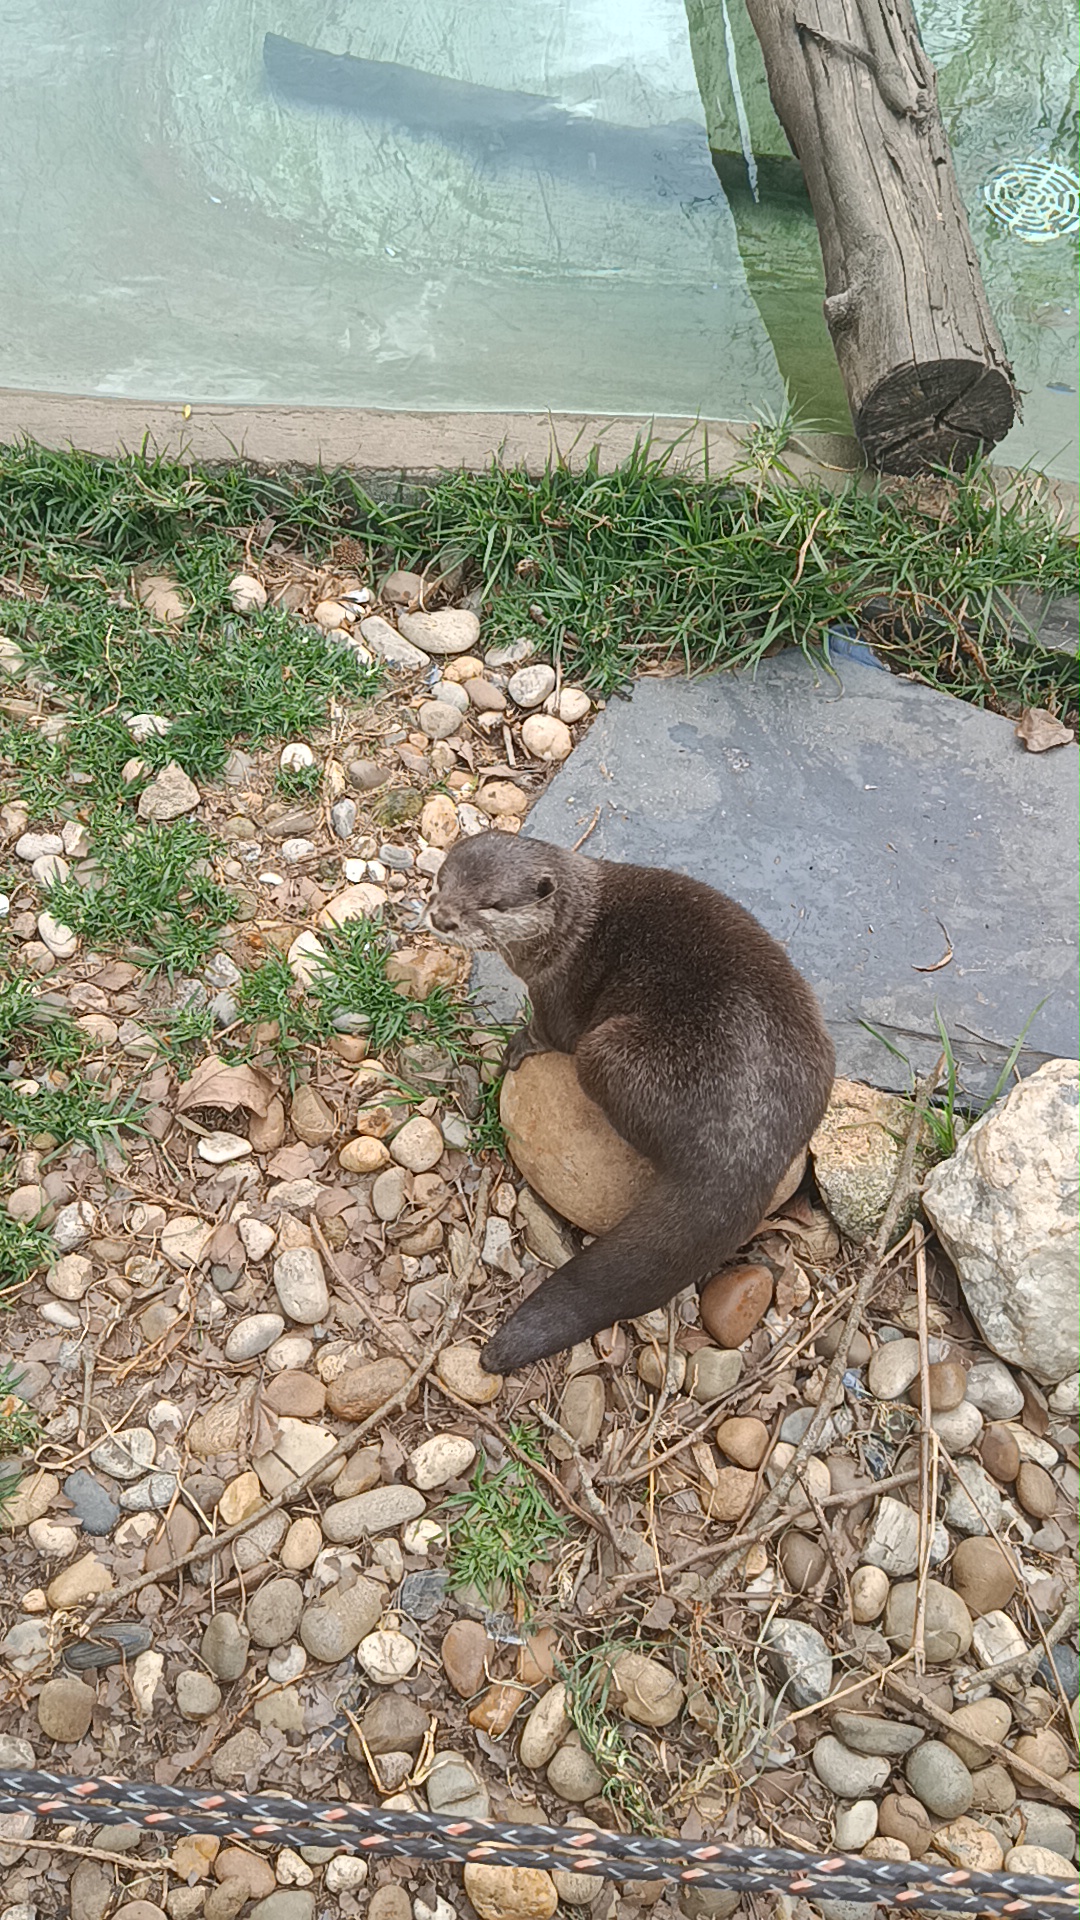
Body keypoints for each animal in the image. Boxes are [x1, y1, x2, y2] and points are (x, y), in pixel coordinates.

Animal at [429, 835, 835, 1374]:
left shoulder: (559, 988)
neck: (572, 930)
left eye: (492, 904)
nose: (442, 916)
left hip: (608, 1053)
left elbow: (551, 1033)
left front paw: (515, 1047)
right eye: (442, 879)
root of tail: (746, 1146)